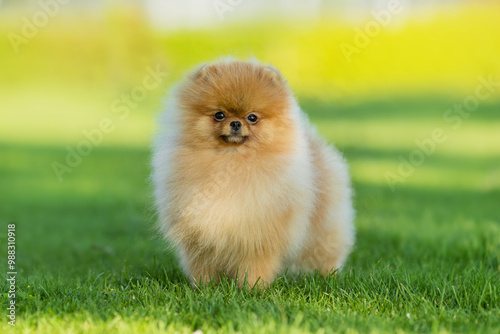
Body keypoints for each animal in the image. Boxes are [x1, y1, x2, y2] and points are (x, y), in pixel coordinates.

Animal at [152, 58, 356, 288]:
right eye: (219, 115)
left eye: (252, 117)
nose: (235, 123)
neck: (231, 160)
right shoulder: (200, 238)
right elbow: (203, 266)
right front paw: (205, 287)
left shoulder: (258, 235)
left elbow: (255, 266)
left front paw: (252, 288)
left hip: (323, 228)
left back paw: (325, 275)